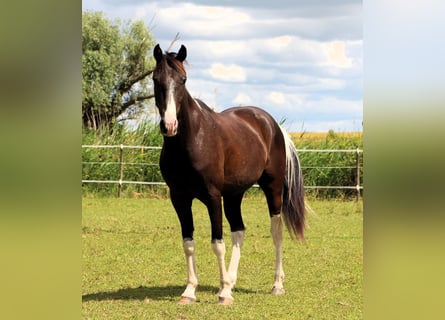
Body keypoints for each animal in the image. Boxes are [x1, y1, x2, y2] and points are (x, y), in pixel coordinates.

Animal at [151, 44, 304, 304]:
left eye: (183, 80)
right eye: (155, 79)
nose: (169, 125)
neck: (191, 140)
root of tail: (273, 125)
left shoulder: (213, 197)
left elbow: (217, 243)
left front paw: (223, 293)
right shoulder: (179, 198)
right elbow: (188, 243)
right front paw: (190, 291)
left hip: (273, 189)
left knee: (276, 231)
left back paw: (276, 285)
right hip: (234, 194)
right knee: (239, 231)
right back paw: (232, 282)